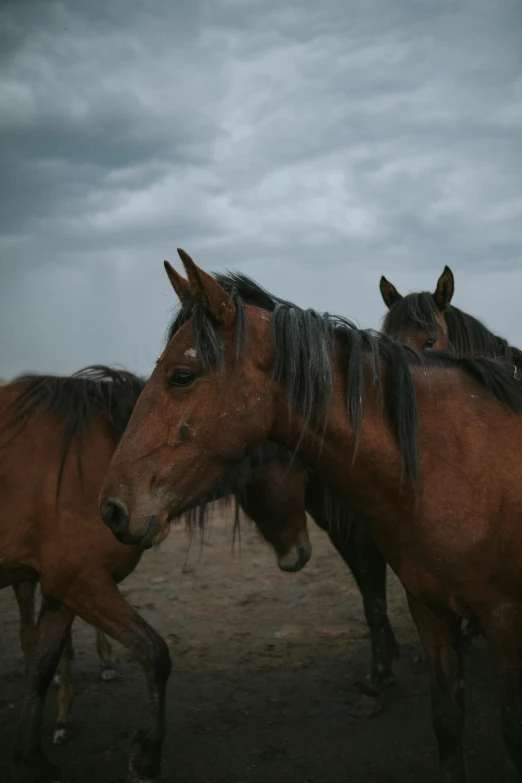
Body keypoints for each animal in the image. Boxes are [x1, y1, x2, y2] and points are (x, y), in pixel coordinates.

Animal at [99, 253, 520, 783]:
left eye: (181, 375)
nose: (111, 508)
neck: (451, 461)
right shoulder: (426, 603)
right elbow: (445, 718)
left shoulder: (503, 618)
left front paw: (379, 678)